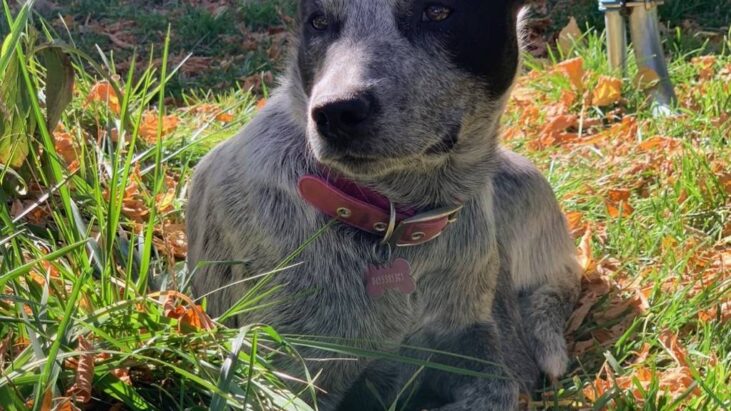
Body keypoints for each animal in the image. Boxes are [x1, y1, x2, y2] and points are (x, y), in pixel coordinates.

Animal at [186, 1, 580, 410]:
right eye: (319, 21)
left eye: (438, 12)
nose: (336, 112)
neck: (391, 214)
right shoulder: (287, 377)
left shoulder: (471, 336)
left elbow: (500, 385)